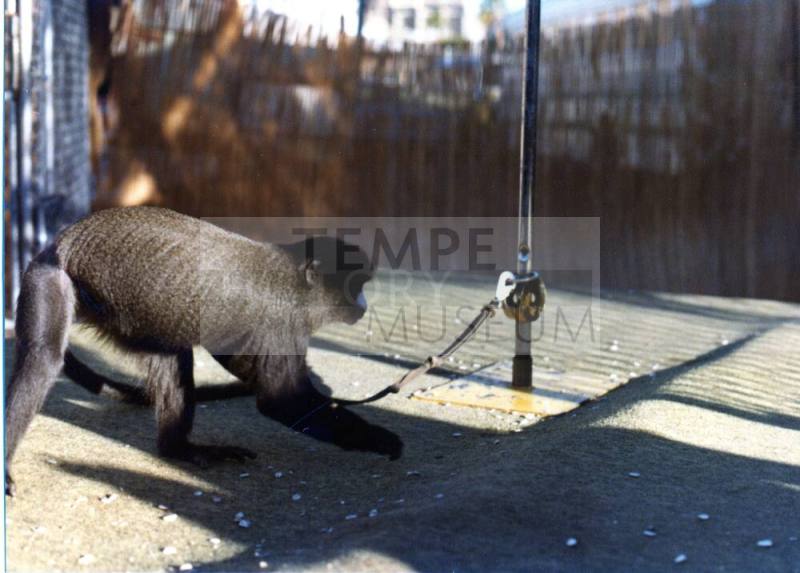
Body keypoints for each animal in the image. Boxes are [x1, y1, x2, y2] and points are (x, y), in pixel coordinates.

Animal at [5, 206, 402, 496]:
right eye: (356, 287)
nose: (364, 304)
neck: (296, 282)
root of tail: (60, 242)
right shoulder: (280, 319)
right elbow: (280, 400)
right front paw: (377, 438)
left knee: (173, 356)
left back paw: (178, 448)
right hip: (51, 279)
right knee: (43, 356)